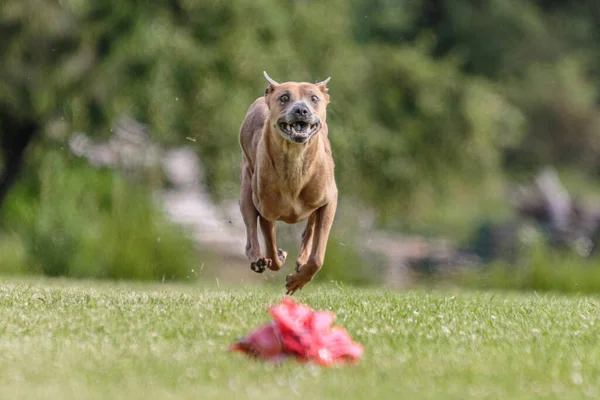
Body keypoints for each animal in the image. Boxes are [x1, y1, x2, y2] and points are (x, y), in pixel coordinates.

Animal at [238, 72, 338, 294]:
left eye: (314, 98)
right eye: (284, 97)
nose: (301, 110)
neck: (295, 159)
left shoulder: (329, 200)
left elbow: (318, 256)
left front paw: (297, 280)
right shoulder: (266, 210)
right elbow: (272, 252)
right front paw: (279, 257)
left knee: (310, 229)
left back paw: (301, 259)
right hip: (247, 188)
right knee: (251, 229)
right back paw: (256, 258)